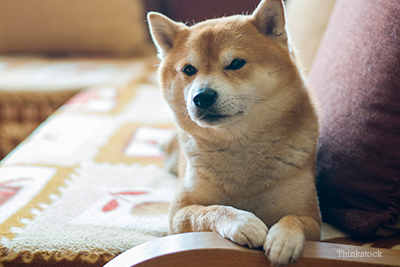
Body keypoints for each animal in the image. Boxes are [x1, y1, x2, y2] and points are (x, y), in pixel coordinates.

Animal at [148, 0, 320, 266]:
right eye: (189, 69)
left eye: (236, 63)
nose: (202, 97)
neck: (239, 147)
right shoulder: (178, 214)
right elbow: (210, 211)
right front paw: (243, 222)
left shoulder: (312, 219)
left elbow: (294, 219)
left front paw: (284, 239)